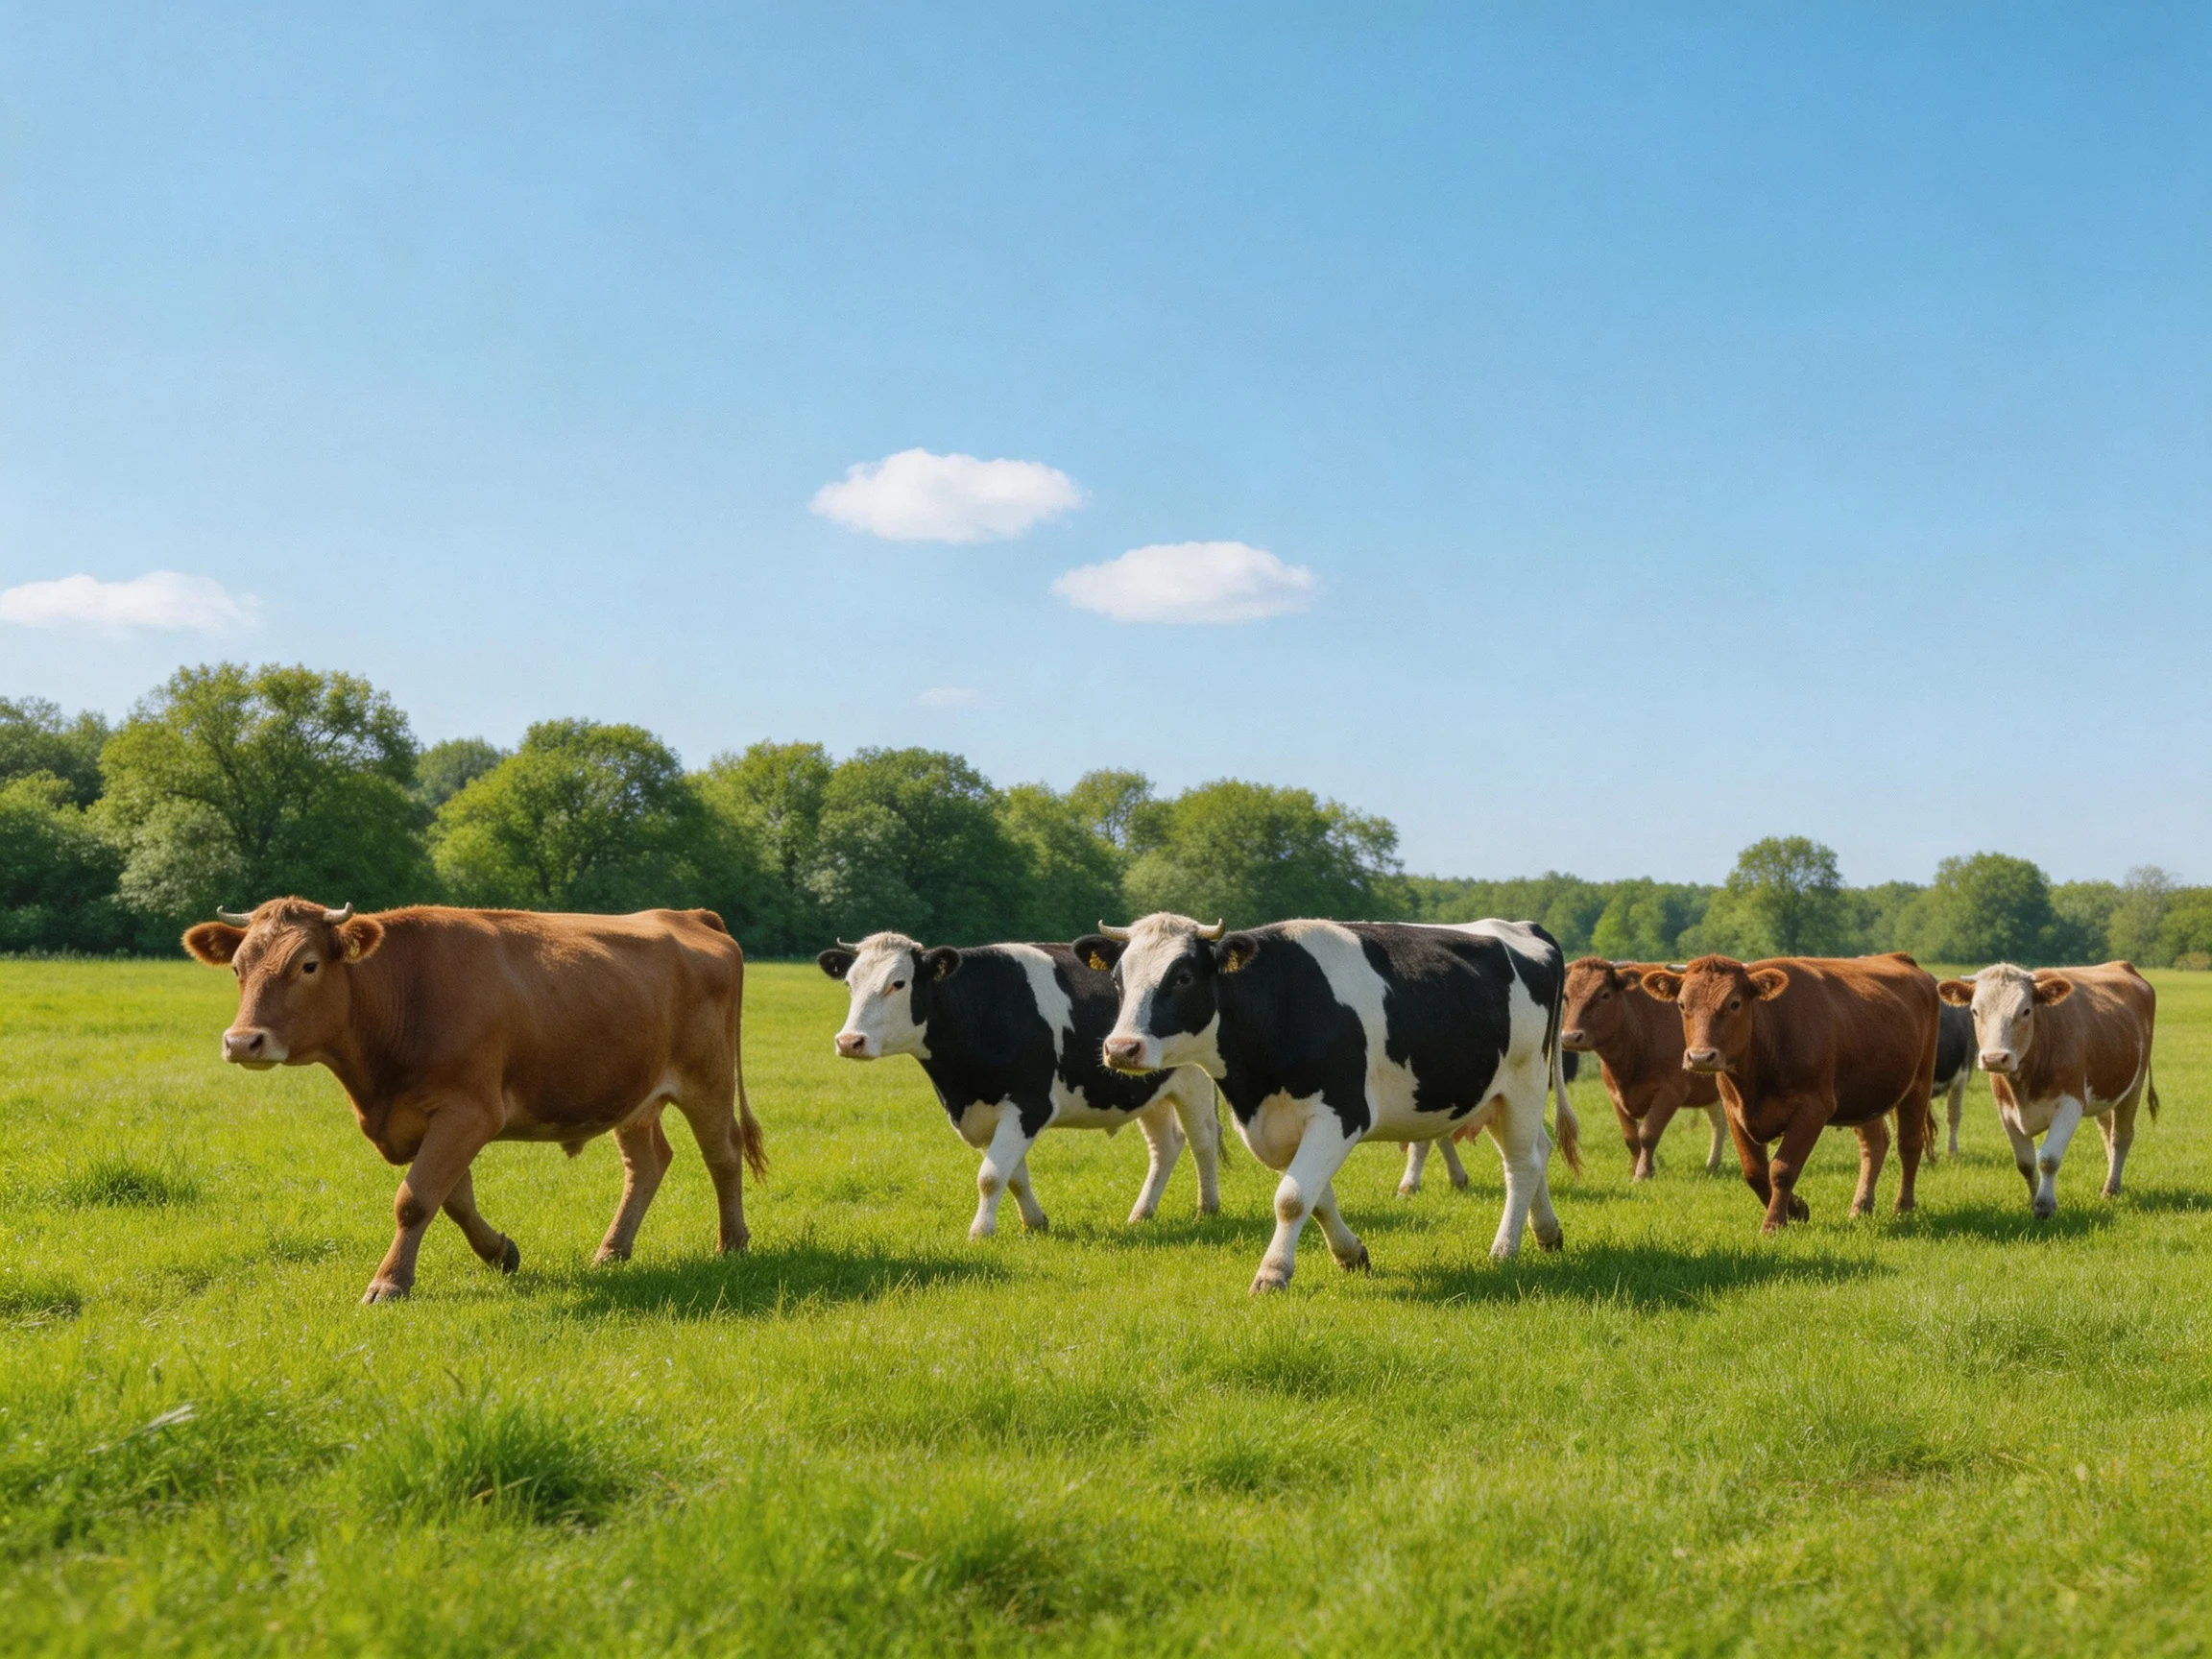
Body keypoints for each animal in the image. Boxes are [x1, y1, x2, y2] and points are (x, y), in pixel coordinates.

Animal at [183, 898, 764, 1303]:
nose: (243, 1041)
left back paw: (732, 1244)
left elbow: (415, 1198)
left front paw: (389, 1284)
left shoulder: (469, 1112)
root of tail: (686, 915)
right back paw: (612, 1251)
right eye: (236, 968)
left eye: (307, 965)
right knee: (647, 1162)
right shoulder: (435, 1119)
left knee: (723, 1155)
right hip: (634, 1094)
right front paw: (501, 1253)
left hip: (708, 1080)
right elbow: (452, 1199)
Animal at [817, 932, 1220, 1239]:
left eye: (897, 983)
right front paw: (1035, 1223)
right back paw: (1141, 1213)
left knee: (1203, 1143)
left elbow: (991, 1176)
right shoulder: (984, 1114)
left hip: (1195, 1083)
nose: (849, 1041)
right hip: (1149, 1091)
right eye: (850, 984)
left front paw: (980, 1232)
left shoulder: (1029, 1105)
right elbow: (1013, 1176)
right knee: (1166, 1146)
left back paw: (1208, 1209)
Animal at [1078, 913, 1580, 1294]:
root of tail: (1521, 926)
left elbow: (1292, 1198)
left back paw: (1505, 1249)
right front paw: (1351, 1254)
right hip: (1492, 1096)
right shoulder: (1278, 1125)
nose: (1121, 1048)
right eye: (1118, 980)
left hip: (1524, 1083)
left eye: (1182, 977)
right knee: (1539, 1150)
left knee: (1522, 1164)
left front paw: (1272, 1274)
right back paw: (1547, 1231)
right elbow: (1317, 1198)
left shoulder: (1339, 1113)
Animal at [1560, 957, 1727, 1179]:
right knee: (1719, 1122)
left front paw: (1643, 1173)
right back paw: (1712, 1165)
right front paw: (1634, 1170)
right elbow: (1631, 1138)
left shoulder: (1672, 1090)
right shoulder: (1615, 1094)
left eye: (1605, 994)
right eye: (1566, 996)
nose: (1570, 1037)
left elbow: (1648, 1133)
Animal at [1637, 953, 1938, 1232]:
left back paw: (1904, 1206)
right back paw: (1861, 1206)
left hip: (1919, 1083)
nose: (1701, 1057)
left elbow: (1782, 1169)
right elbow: (1755, 1171)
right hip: (1863, 1095)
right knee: (1874, 1144)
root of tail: (1899, 958)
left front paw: (1774, 1223)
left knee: (1909, 1144)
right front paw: (1797, 1209)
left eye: (1735, 1003)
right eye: (1682, 1004)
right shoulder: (1734, 1110)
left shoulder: (1813, 1108)